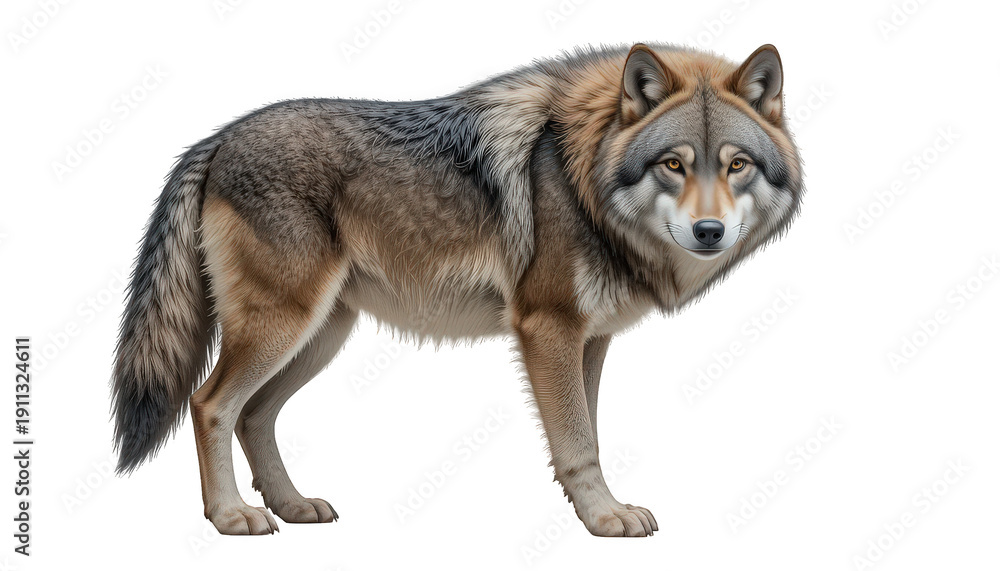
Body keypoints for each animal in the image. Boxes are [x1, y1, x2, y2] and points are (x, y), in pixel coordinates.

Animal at [111, 43, 802, 537]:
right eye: (674, 164)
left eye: (737, 164)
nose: (709, 231)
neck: (582, 176)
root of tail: (216, 138)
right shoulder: (547, 327)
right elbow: (578, 440)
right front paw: (604, 519)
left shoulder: (591, 339)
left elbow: (589, 432)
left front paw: (600, 510)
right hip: (284, 327)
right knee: (209, 404)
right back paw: (231, 517)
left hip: (319, 336)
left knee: (254, 414)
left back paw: (292, 505)